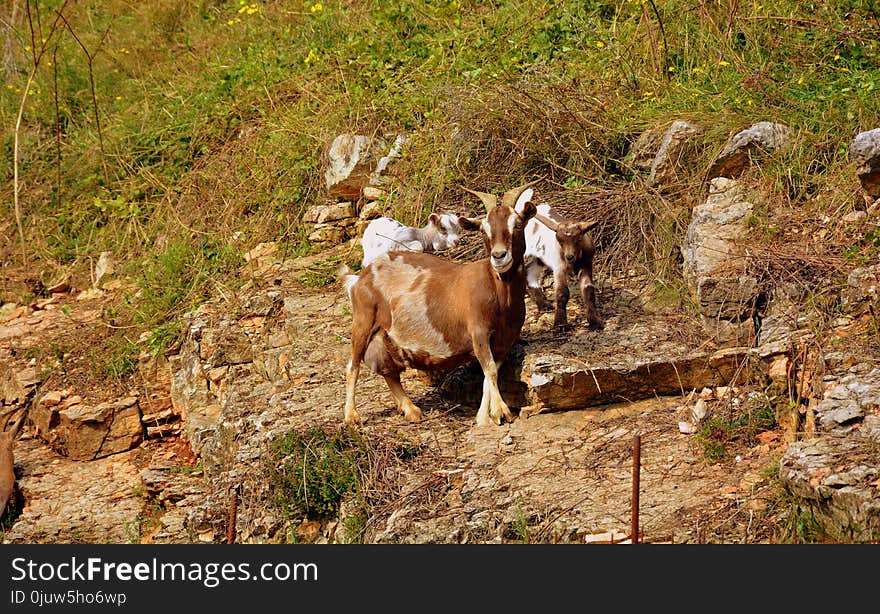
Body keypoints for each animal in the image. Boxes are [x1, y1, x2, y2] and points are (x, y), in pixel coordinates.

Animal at [342, 180, 536, 426]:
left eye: (518, 224)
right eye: (484, 230)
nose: (499, 256)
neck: (500, 294)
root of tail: (363, 275)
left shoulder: (504, 341)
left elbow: (489, 374)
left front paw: (483, 417)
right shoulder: (479, 332)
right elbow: (490, 370)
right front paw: (501, 411)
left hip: (385, 336)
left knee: (389, 371)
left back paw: (411, 410)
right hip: (363, 320)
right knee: (353, 365)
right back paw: (351, 415)